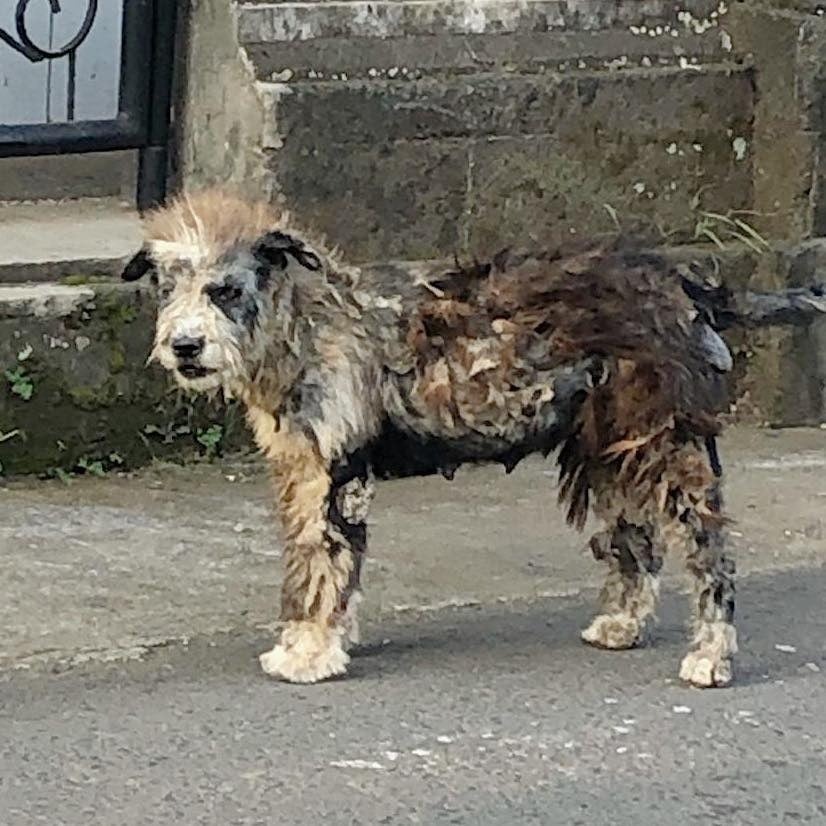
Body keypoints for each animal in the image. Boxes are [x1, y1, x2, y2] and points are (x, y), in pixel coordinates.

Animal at [120, 190, 824, 684]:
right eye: (169, 288)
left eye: (225, 290)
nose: (184, 346)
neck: (306, 326)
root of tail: (688, 286)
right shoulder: (302, 474)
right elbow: (312, 565)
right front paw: (315, 639)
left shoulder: (337, 476)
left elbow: (325, 562)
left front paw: (310, 653)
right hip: (610, 450)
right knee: (638, 545)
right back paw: (621, 624)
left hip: (668, 445)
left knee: (711, 554)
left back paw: (712, 657)